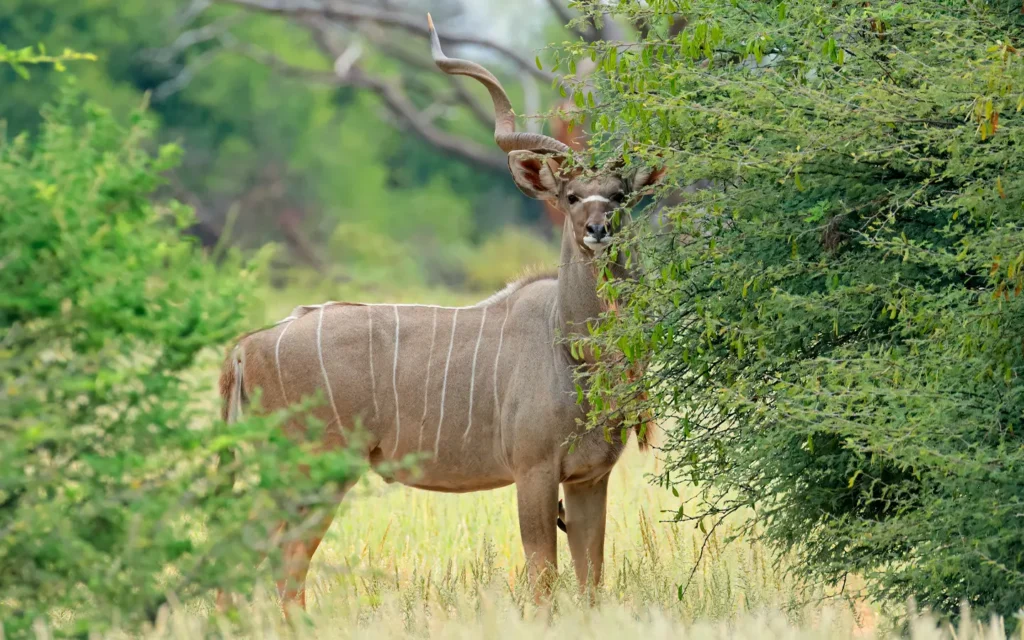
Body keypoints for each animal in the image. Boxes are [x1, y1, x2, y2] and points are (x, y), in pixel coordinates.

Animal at [218, 14, 664, 612]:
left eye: (620, 196)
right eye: (571, 196)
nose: (598, 230)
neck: (573, 349)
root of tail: (249, 346)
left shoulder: (589, 478)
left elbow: (591, 580)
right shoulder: (534, 471)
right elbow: (543, 579)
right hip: (308, 470)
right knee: (264, 555)